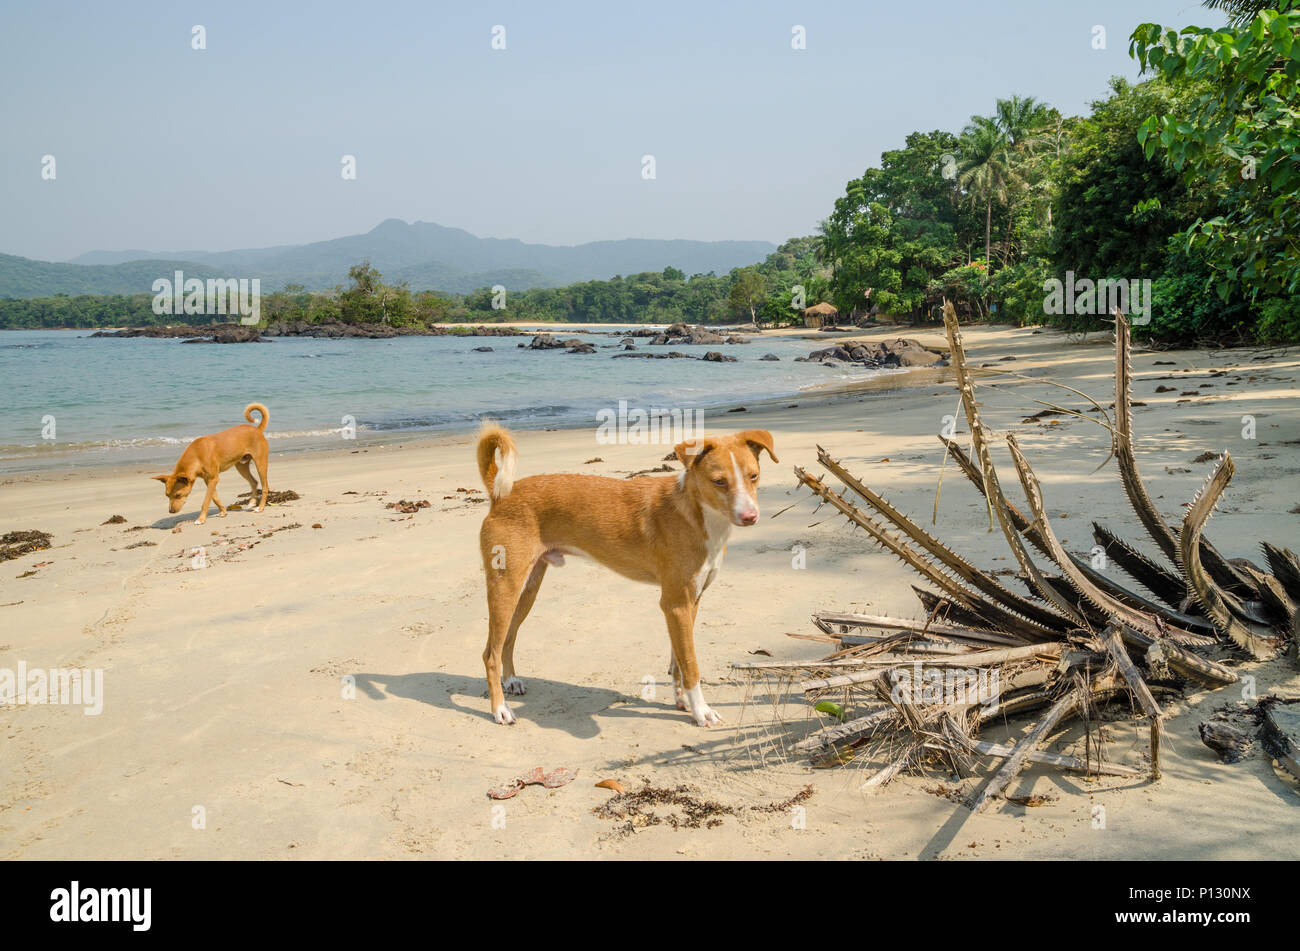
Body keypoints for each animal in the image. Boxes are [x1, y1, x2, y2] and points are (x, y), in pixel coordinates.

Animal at [480, 423, 774, 727]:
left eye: (753, 476)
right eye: (719, 482)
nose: (750, 517)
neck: (695, 513)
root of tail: (501, 494)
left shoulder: (689, 603)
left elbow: (678, 661)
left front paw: (682, 701)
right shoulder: (676, 604)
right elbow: (691, 664)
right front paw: (701, 711)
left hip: (527, 590)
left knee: (508, 638)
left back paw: (510, 680)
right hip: (506, 586)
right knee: (490, 653)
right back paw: (499, 709)